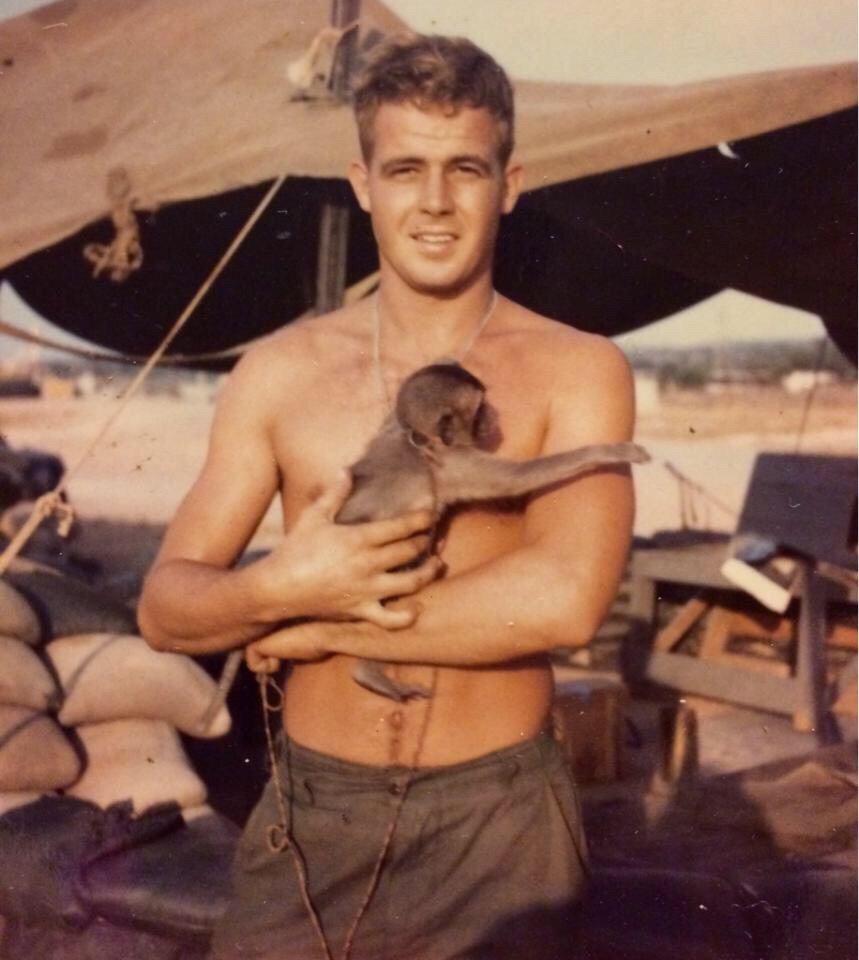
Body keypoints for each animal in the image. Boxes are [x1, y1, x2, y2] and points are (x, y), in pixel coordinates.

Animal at [338, 364, 652, 700]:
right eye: (479, 410)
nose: (493, 416)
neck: (419, 441)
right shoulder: (455, 461)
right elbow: (515, 479)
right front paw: (610, 452)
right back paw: (368, 673)